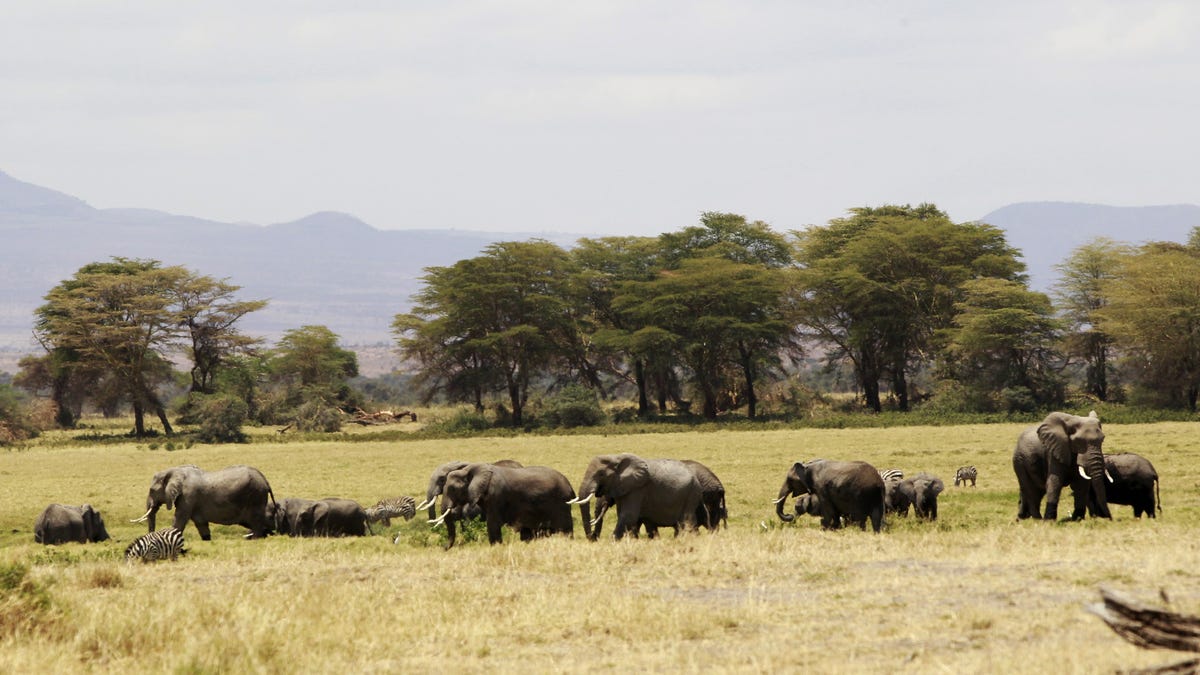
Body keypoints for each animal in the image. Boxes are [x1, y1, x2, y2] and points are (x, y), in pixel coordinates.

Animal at [133, 461, 276, 535]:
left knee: (256, 522)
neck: (175, 470)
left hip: (255, 495)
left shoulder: (187, 496)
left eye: (151, 490)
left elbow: (179, 519)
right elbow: (201, 524)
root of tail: (265, 480)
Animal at [436, 458, 576, 542]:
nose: (445, 548)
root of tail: (570, 486)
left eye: (453, 489)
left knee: (566, 530)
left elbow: (493, 524)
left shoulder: (496, 496)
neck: (470, 470)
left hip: (561, 503)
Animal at [568, 451, 700, 540]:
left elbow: (628, 516)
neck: (616, 457)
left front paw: (613, 541)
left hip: (691, 493)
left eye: (601, 474)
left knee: (686, 521)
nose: (593, 538)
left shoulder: (637, 489)